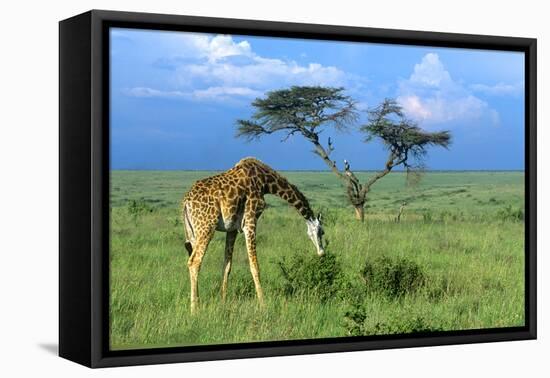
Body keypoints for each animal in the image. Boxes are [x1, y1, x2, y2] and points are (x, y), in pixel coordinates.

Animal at [181, 157, 328, 314]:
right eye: (322, 232)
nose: (321, 253)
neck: (265, 182)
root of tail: (185, 203)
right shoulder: (250, 221)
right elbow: (254, 266)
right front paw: (263, 305)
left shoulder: (231, 229)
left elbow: (227, 266)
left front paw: (223, 302)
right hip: (206, 227)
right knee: (194, 262)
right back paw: (194, 309)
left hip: (194, 233)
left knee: (192, 260)